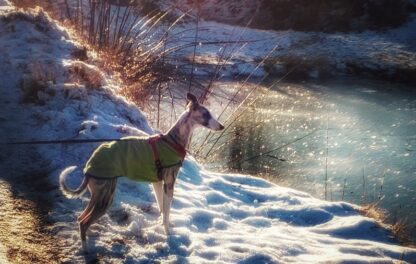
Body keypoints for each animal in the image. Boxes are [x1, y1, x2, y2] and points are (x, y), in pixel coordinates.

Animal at [58, 92, 224, 252]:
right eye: (206, 114)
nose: (222, 126)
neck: (172, 141)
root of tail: (89, 166)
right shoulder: (169, 184)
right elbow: (167, 211)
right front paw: (168, 234)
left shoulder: (158, 183)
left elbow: (162, 209)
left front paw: (164, 226)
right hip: (105, 197)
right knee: (84, 222)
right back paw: (85, 249)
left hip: (98, 195)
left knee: (81, 218)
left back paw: (89, 236)